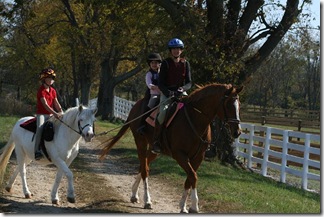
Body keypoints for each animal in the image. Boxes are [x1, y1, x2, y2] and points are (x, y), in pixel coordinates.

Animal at [100, 82, 242, 212]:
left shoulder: (198, 157)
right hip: (140, 142)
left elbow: (189, 179)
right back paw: (147, 200)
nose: (237, 132)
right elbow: (193, 176)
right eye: (228, 105)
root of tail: (135, 106)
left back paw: (134, 194)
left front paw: (184, 206)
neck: (195, 119)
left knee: (144, 165)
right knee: (145, 170)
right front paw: (194, 206)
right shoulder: (180, 155)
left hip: (154, 150)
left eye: (238, 105)